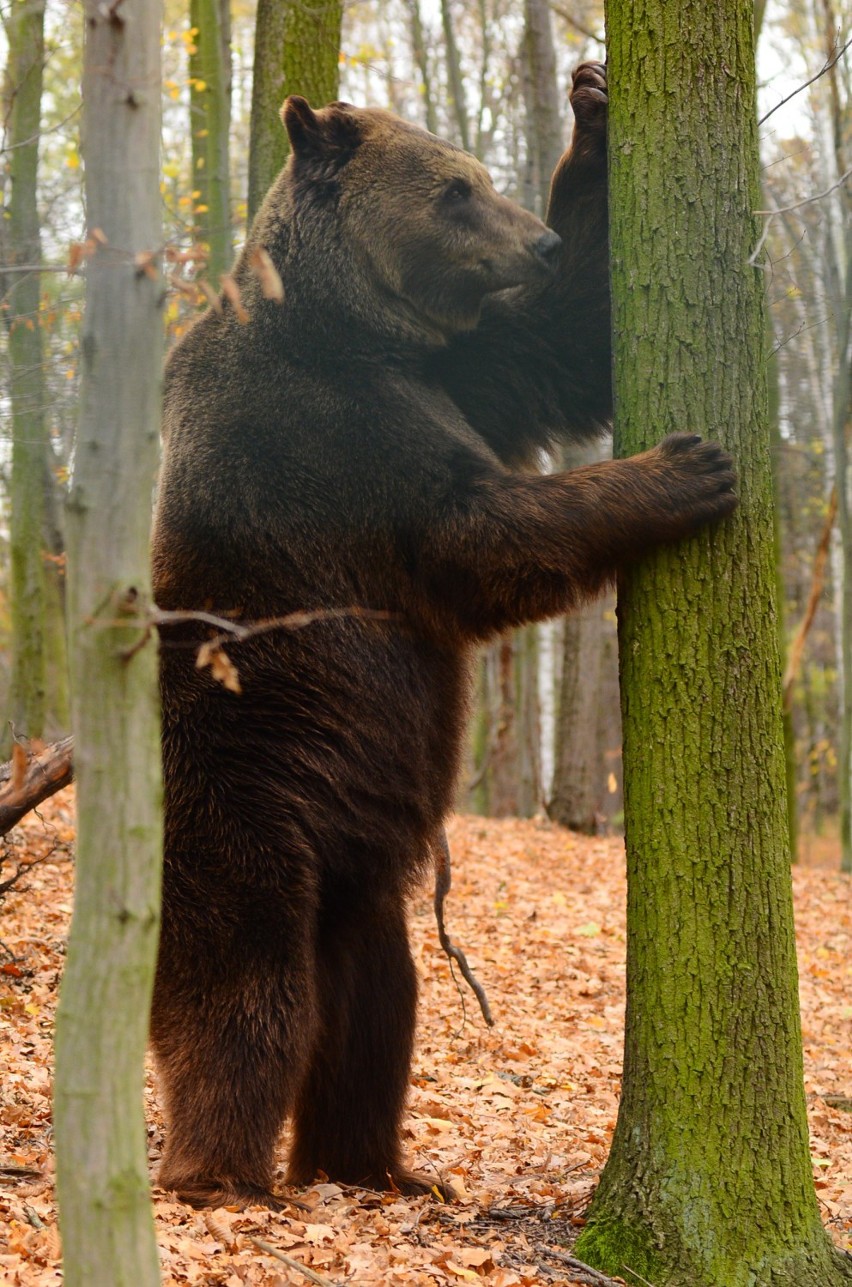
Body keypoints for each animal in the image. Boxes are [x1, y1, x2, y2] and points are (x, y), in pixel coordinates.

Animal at [149, 65, 736, 1209]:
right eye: (455, 191)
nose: (534, 242)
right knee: (248, 991)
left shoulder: (463, 371)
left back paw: (379, 1167)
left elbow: (560, 344)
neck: (356, 329)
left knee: (378, 998)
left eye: (479, 175)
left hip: (358, 850)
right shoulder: (335, 440)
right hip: (241, 803)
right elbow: (477, 535)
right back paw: (222, 1174)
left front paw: (593, 112)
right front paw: (686, 469)